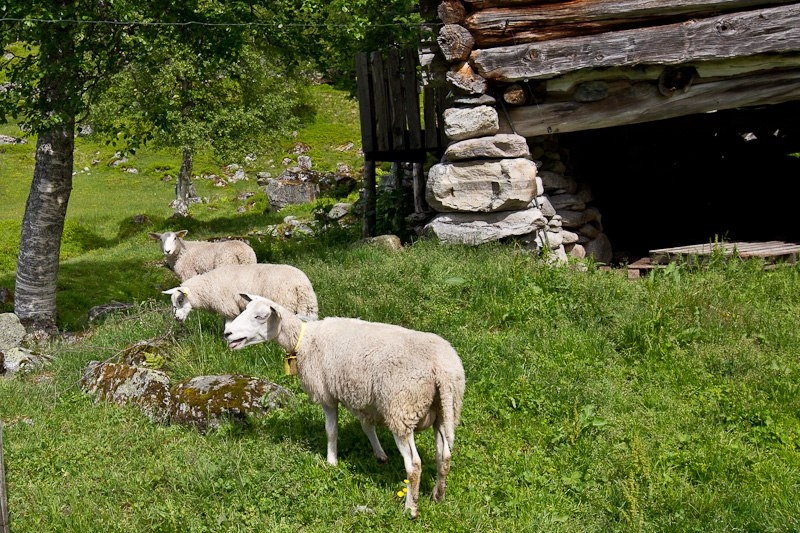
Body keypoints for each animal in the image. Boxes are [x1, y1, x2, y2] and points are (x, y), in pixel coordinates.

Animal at [162, 264, 318, 322]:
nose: (176, 318)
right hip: (308, 307)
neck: (207, 288)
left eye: (180, 300)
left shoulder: (229, 308)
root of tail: (301, 285)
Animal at [222, 294, 466, 516]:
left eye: (260, 316)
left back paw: (410, 509)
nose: (227, 334)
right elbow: (367, 426)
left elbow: (331, 431)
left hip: (401, 409)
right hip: (445, 409)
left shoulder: (327, 394)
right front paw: (379, 454)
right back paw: (438, 495)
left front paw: (331, 462)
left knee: (414, 465)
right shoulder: (364, 397)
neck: (304, 339)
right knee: (444, 456)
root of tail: (442, 368)